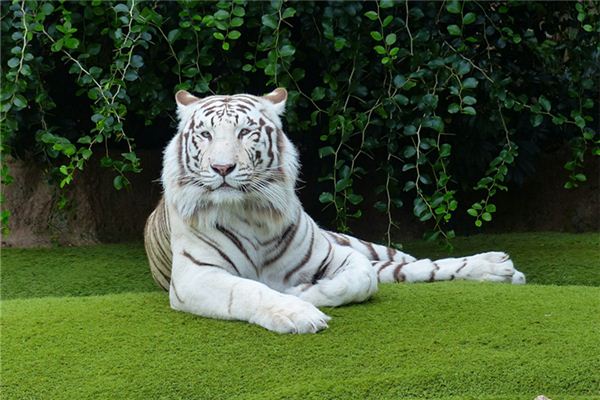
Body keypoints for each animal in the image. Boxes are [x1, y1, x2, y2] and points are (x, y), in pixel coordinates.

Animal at [144, 88, 526, 334]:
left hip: (363, 245)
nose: (222, 168)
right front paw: (296, 312)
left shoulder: (336, 254)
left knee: (416, 265)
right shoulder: (195, 275)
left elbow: (361, 279)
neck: (251, 212)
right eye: (206, 135)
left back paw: (499, 268)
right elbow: (249, 289)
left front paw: (302, 292)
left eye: (246, 132)